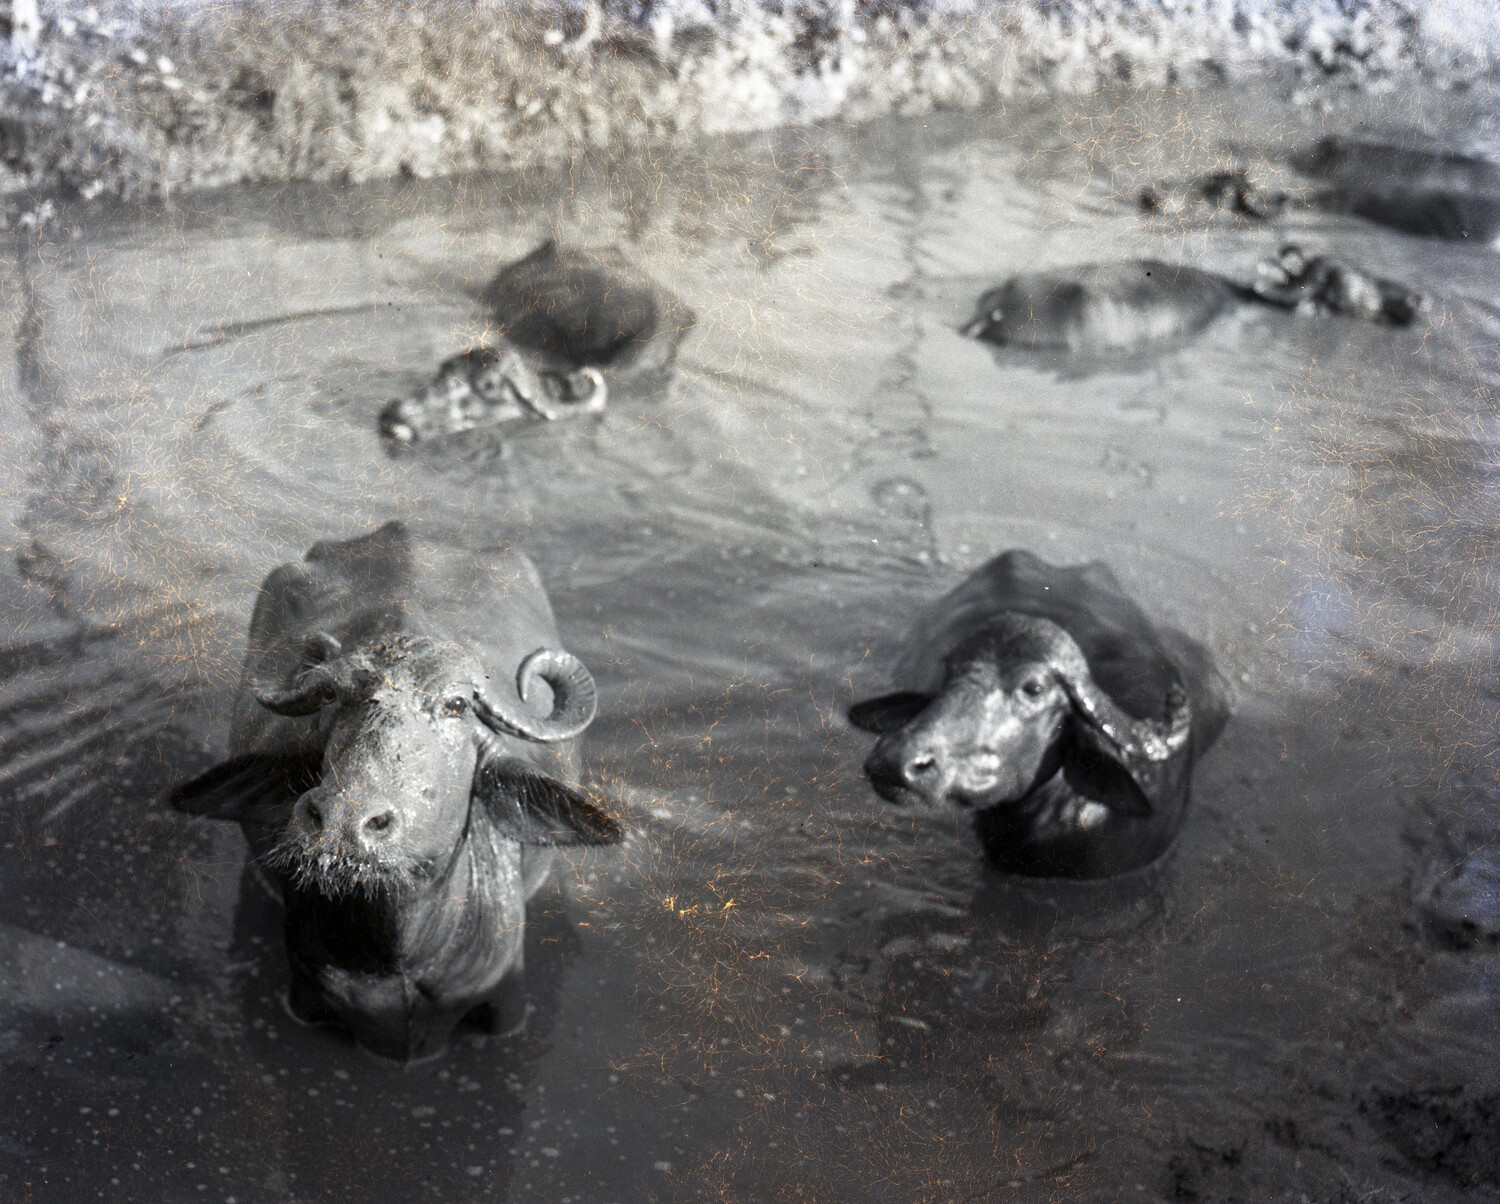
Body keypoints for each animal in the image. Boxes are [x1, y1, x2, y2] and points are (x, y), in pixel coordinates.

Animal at [172, 521, 622, 1060]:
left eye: (456, 705)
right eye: (330, 694)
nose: (344, 822)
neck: (399, 951)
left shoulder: (507, 1001)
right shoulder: (303, 994)